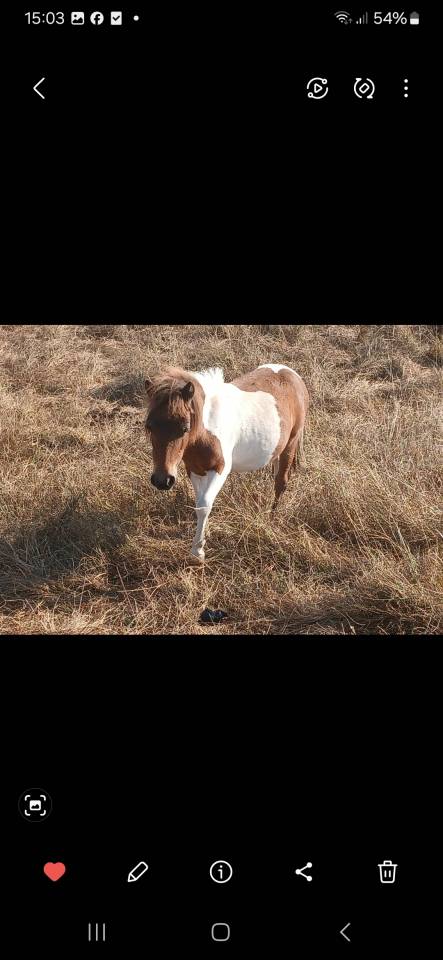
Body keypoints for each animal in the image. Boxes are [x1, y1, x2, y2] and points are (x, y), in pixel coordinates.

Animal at [145, 364, 309, 562]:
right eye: (149, 426)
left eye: (184, 428)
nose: (162, 481)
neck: (205, 433)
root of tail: (292, 375)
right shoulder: (194, 469)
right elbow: (200, 503)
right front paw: (204, 534)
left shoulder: (220, 470)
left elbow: (205, 504)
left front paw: (198, 551)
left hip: (291, 444)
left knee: (281, 482)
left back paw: (271, 518)